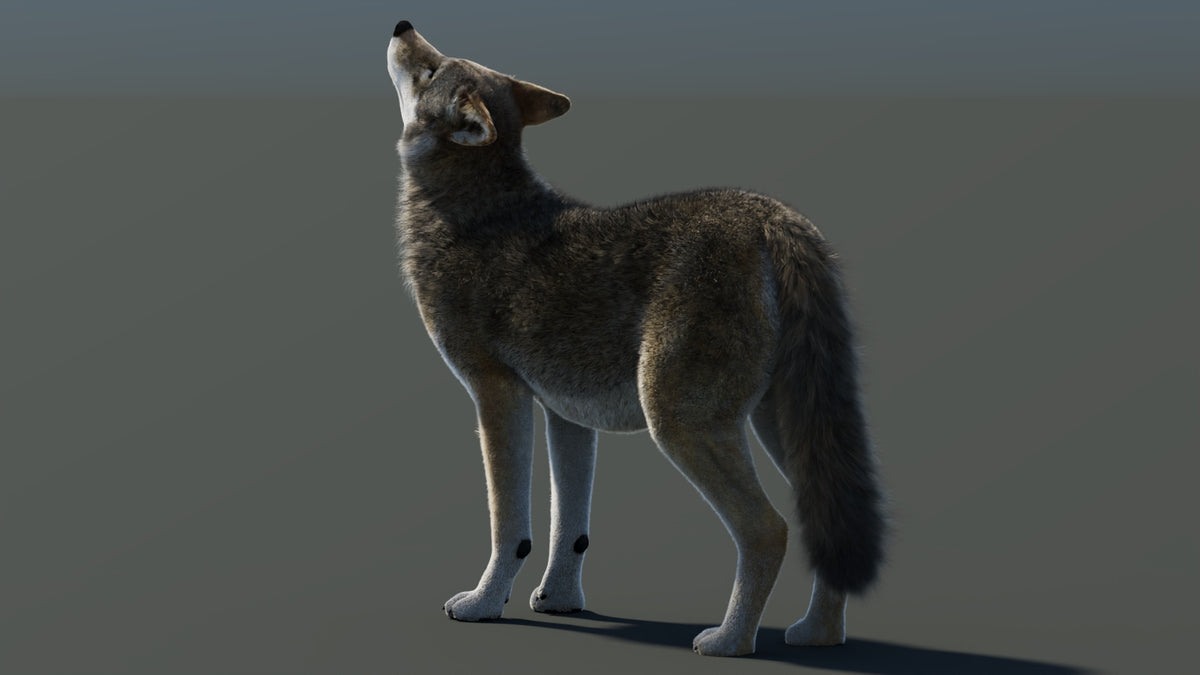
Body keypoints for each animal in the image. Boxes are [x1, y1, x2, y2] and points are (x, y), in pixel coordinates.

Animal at [386, 21, 886, 656]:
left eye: (430, 68)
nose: (403, 25)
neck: (472, 214)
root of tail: (774, 218)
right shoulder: (566, 416)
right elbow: (569, 528)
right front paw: (561, 602)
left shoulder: (495, 394)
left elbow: (510, 526)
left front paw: (483, 605)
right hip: (776, 428)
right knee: (825, 520)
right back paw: (818, 636)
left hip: (678, 424)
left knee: (768, 530)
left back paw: (730, 641)